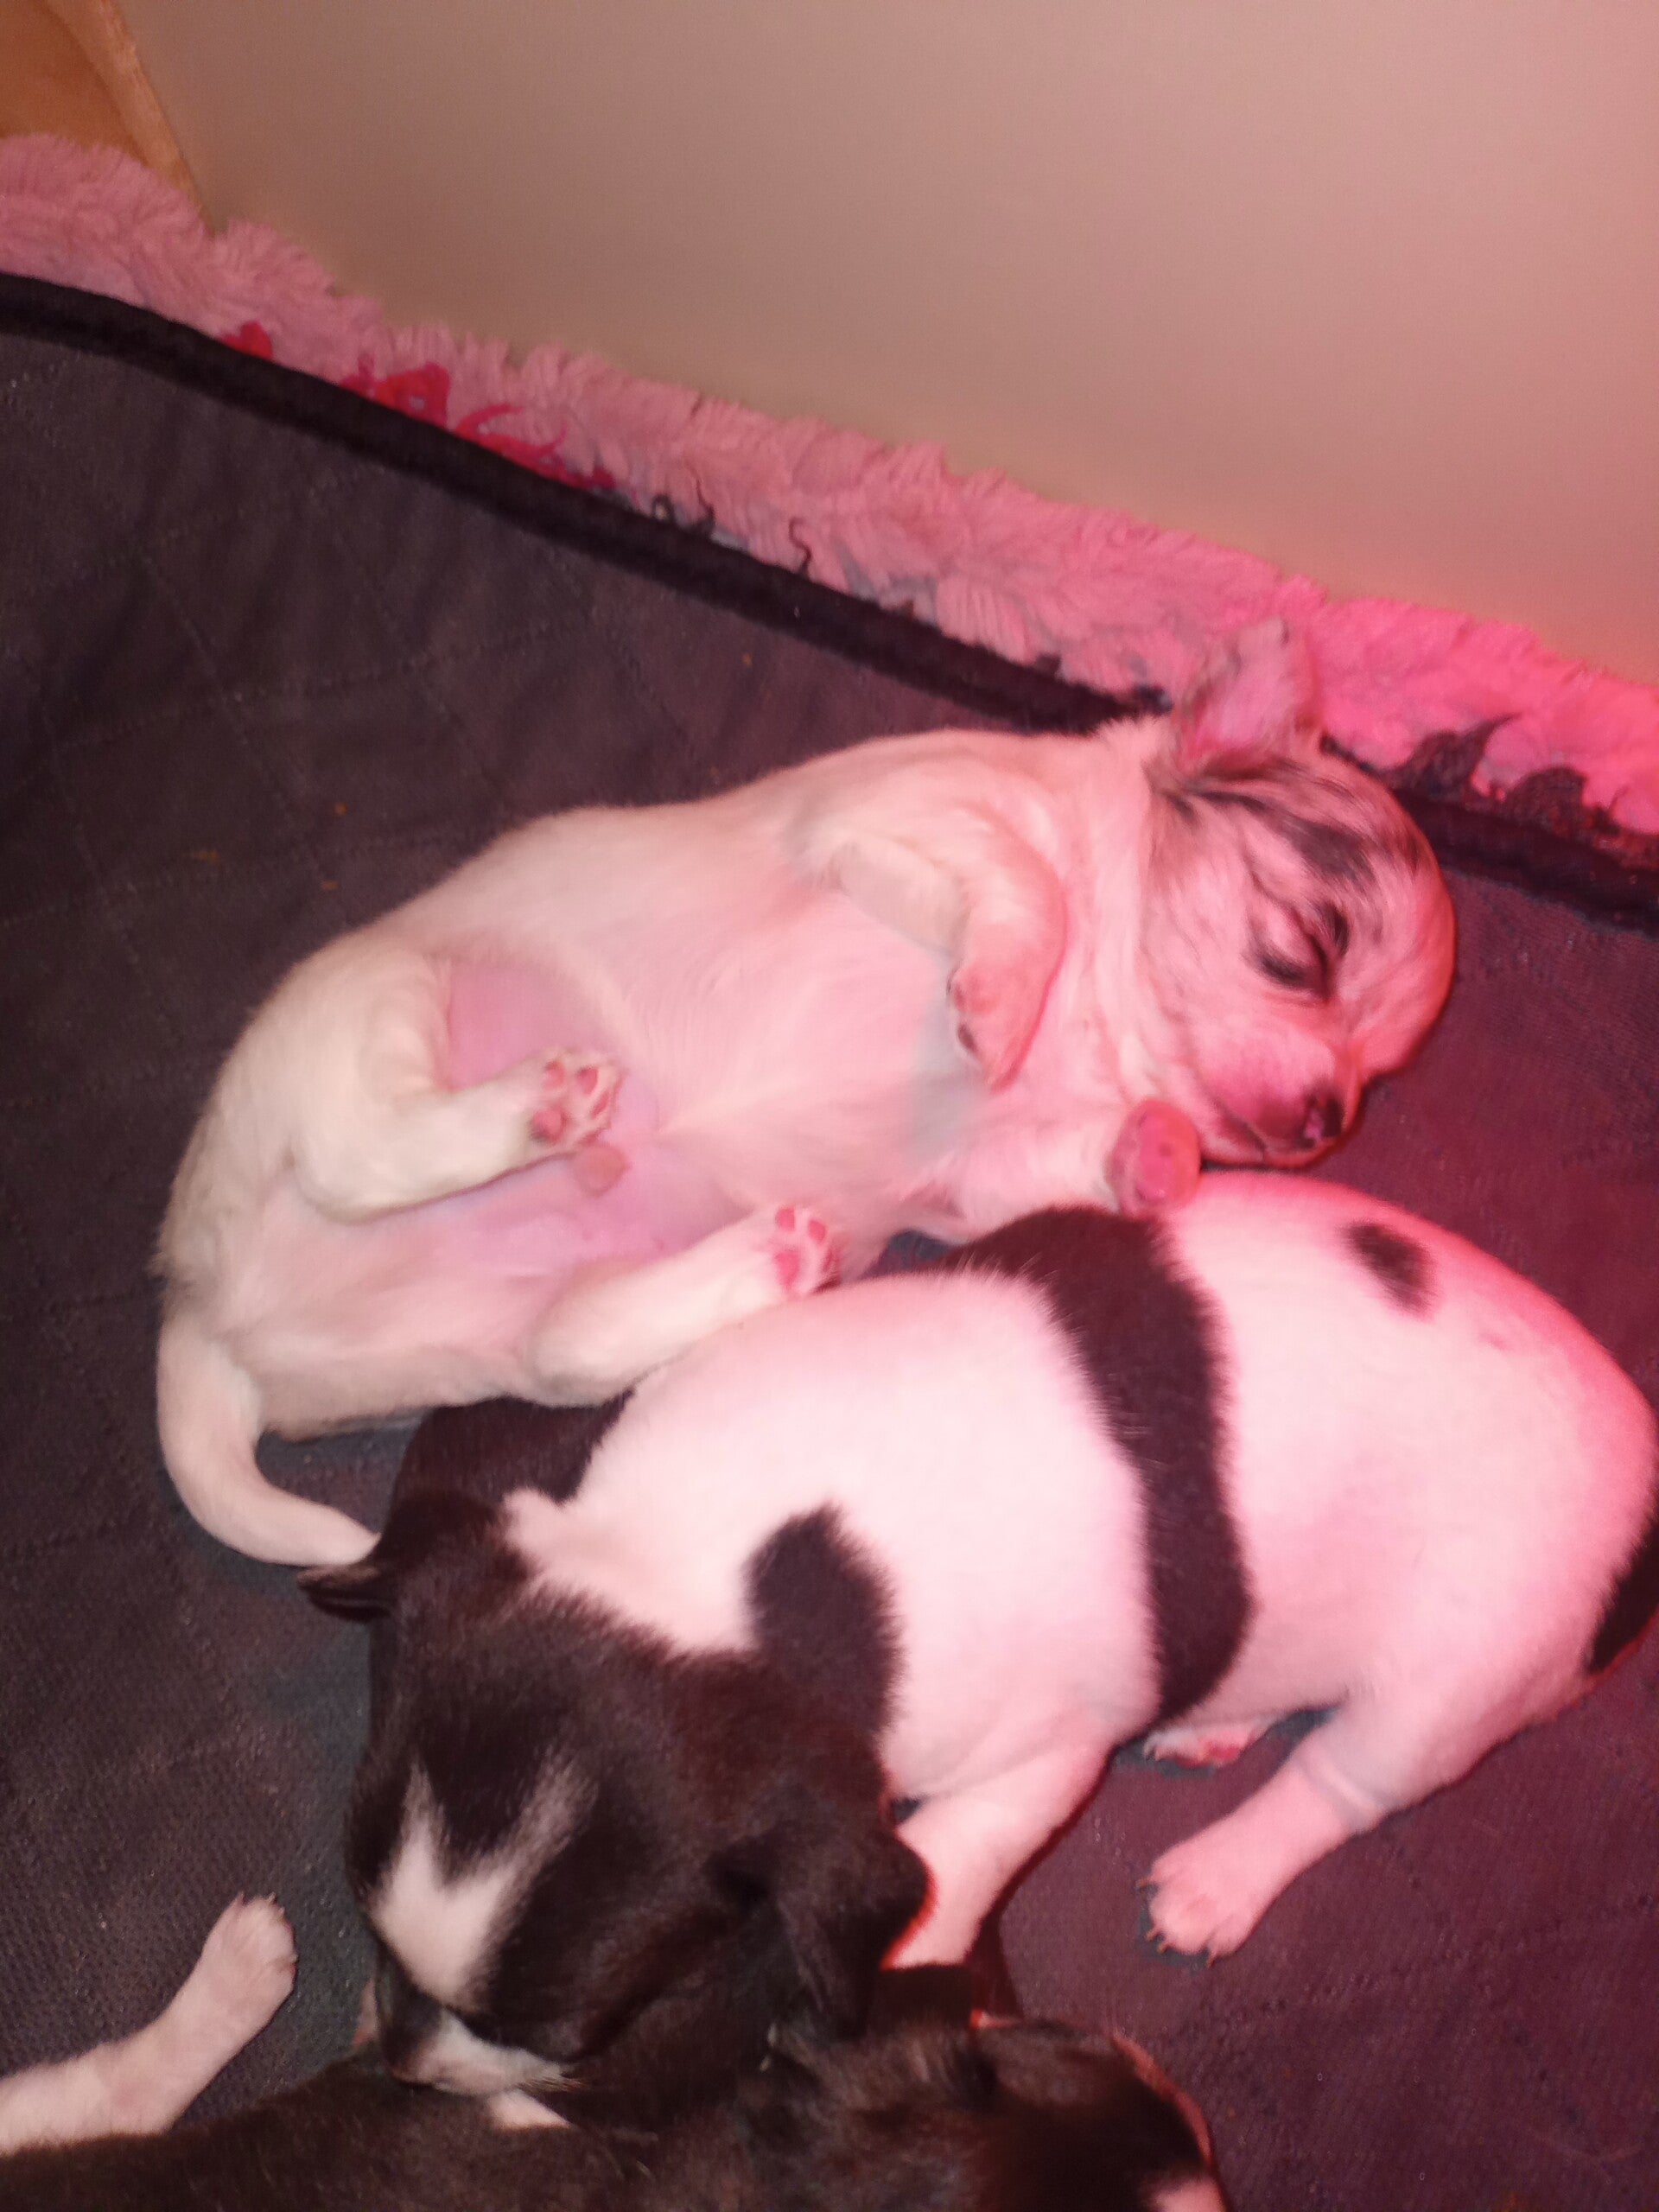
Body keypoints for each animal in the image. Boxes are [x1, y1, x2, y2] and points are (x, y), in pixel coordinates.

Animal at [155, 619, 1454, 1567]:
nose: (1324, 1122)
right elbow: (1029, 885)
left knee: (569, 1346)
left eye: (1377, 1079)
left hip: (507, 1324)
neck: (1100, 1021)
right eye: (1304, 949)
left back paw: (765, 1262)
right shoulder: (904, 816)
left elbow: (1078, 1150)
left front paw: (1156, 1150)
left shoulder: (978, 1176)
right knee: (358, 1153)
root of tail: (207, 1315)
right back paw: (542, 1108)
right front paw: (999, 1001)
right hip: (369, 1001)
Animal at [302, 1175, 1658, 2095]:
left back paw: (1223, 1872)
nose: (400, 2065)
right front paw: (754, 1263)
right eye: (367, 1927)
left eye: (566, 2034)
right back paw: (1219, 1723)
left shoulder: (1043, 1757)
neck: (735, 1573)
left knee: (1346, 1779)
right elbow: (570, 1335)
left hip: (1463, 1670)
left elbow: (945, 1862)